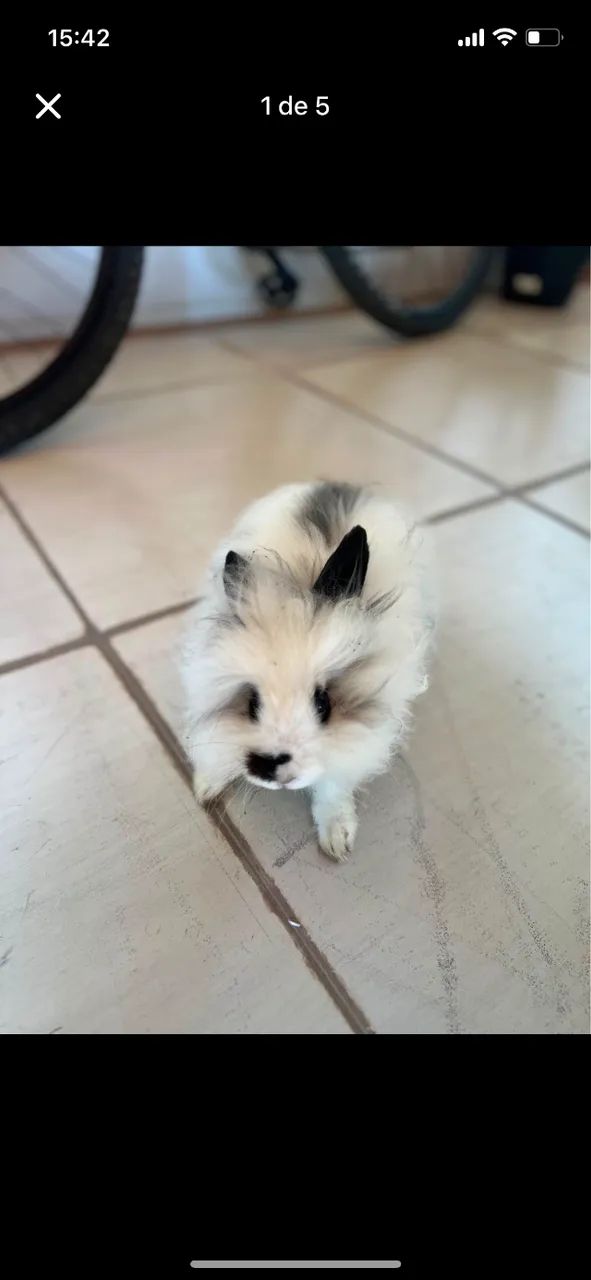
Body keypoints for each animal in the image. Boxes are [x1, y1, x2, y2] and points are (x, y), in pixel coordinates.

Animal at [181, 481, 433, 862]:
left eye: (323, 704)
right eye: (251, 703)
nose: (272, 767)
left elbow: (332, 790)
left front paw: (337, 840)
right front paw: (205, 787)